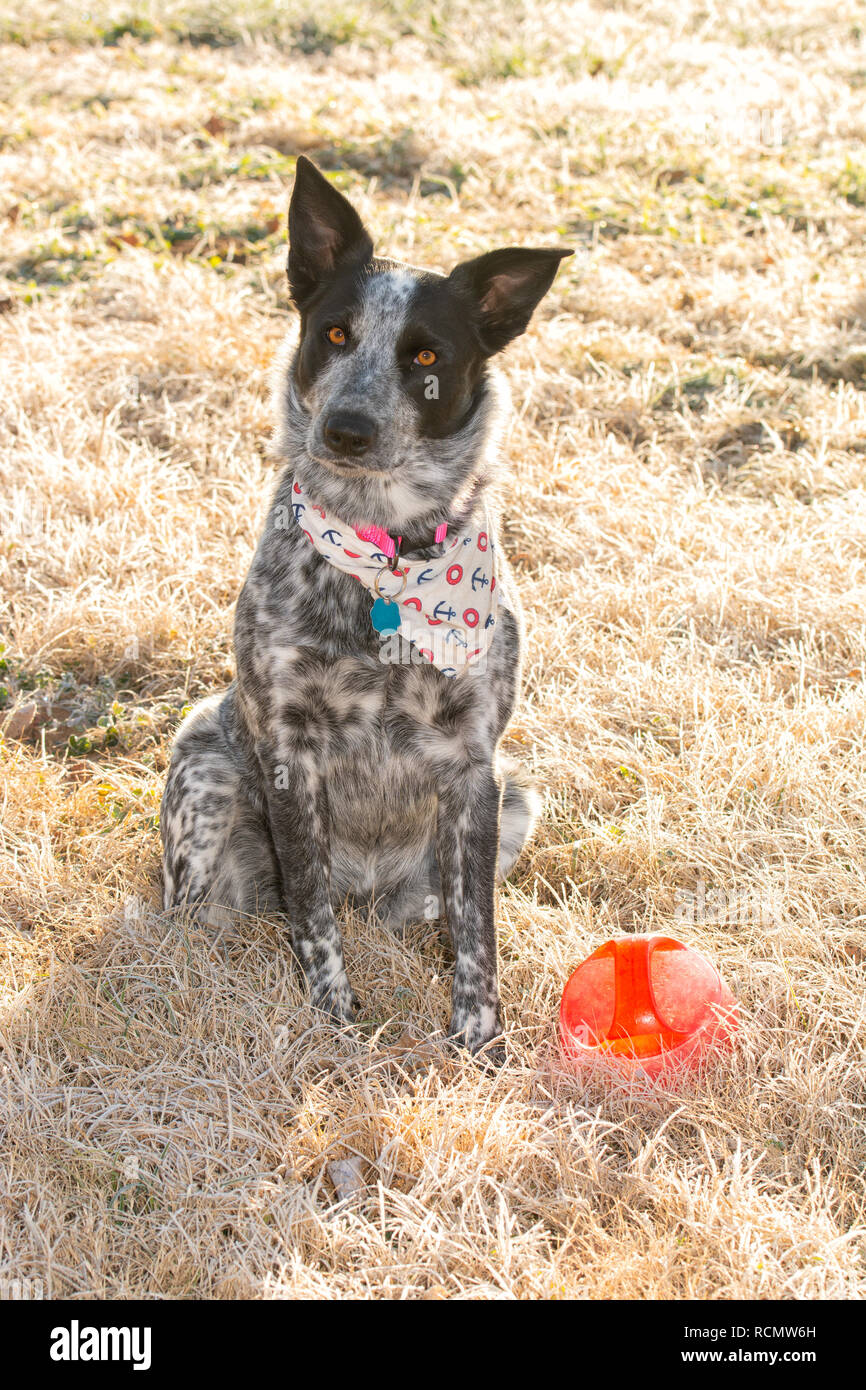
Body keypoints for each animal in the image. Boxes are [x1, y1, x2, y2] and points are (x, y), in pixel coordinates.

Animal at [161, 157, 575, 1050]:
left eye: (424, 355)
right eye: (335, 335)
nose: (348, 428)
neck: (384, 558)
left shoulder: (475, 765)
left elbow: (477, 928)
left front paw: (479, 1041)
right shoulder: (289, 753)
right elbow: (312, 915)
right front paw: (334, 1022)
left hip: (519, 795)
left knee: (429, 905)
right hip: (204, 773)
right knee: (203, 915)